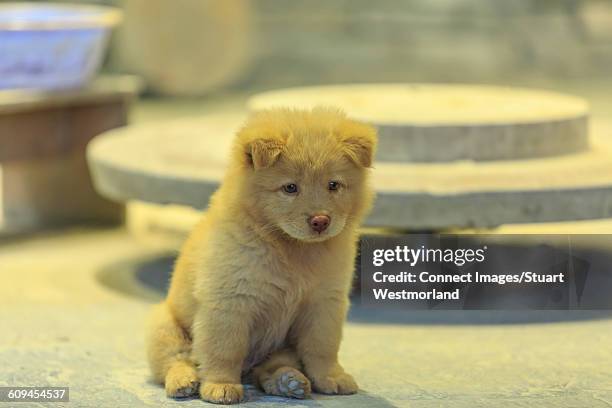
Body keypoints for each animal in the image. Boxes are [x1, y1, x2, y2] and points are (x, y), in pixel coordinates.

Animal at [147, 107, 378, 404]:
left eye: (333, 185)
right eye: (290, 188)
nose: (320, 221)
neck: (292, 250)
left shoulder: (325, 303)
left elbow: (323, 348)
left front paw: (333, 378)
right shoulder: (230, 302)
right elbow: (225, 349)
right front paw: (221, 386)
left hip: (282, 347)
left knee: (268, 370)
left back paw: (288, 382)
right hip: (164, 326)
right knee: (176, 360)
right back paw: (184, 382)